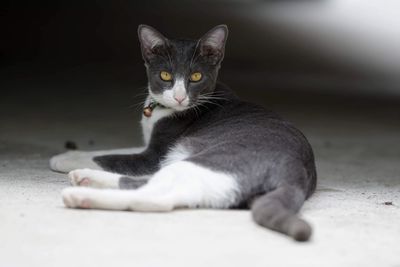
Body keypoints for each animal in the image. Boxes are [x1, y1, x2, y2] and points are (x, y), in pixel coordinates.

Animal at [51, 24, 318, 243]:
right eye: (165, 75)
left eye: (196, 76)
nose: (179, 96)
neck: (159, 112)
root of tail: (295, 174)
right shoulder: (151, 147)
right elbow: (113, 150)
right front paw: (71, 154)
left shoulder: (153, 156)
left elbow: (109, 158)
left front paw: (62, 159)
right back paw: (85, 179)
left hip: (209, 162)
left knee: (153, 197)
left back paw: (79, 194)